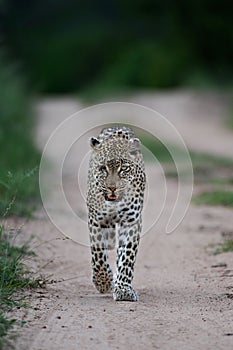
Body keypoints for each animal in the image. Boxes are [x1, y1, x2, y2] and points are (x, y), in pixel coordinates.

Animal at [87, 126, 146, 300]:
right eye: (103, 168)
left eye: (124, 169)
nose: (112, 188)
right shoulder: (96, 219)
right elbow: (98, 253)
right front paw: (103, 281)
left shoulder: (131, 221)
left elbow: (127, 256)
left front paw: (123, 289)